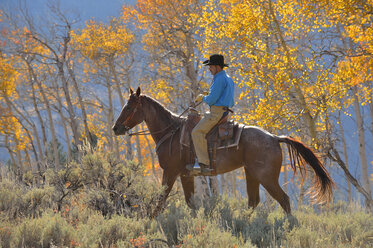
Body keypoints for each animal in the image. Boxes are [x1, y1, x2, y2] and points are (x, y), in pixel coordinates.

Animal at [112, 87, 332, 215]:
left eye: (129, 107)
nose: (116, 128)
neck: (170, 131)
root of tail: (274, 137)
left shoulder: (171, 172)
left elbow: (160, 200)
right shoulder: (185, 174)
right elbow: (191, 203)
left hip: (267, 177)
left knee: (284, 200)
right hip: (251, 174)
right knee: (253, 202)